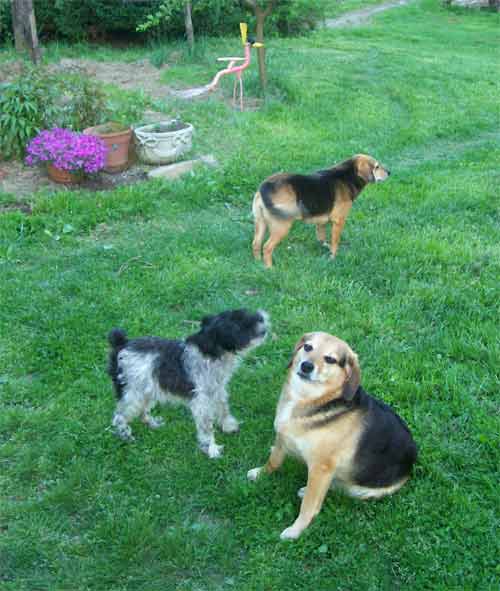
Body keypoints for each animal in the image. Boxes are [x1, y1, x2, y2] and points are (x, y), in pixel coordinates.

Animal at [106, 308, 270, 460]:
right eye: (239, 324)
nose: (263, 319)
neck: (210, 352)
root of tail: (121, 343)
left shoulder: (217, 390)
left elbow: (223, 408)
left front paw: (229, 426)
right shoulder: (201, 401)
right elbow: (206, 427)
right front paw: (211, 449)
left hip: (146, 390)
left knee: (142, 412)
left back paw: (152, 423)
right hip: (132, 394)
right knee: (119, 417)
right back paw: (125, 435)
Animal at [247, 332, 418, 540]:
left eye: (330, 359)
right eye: (308, 347)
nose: (306, 366)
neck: (309, 399)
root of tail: (411, 464)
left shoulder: (321, 468)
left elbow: (309, 506)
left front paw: (296, 530)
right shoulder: (282, 438)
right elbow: (274, 461)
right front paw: (261, 473)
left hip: (361, 489)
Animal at [252, 156, 388, 270]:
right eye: (377, 167)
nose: (389, 172)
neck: (347, 176)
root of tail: (264, 187)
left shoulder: (321, 221)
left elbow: (322, 238)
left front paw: (325, 247)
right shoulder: (339, 221)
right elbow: (335, 241)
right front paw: (333, 257)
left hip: (260, 222)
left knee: (256, 244)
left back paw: (257, 263)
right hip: (282, 226)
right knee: (267, 247)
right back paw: (269, 268)